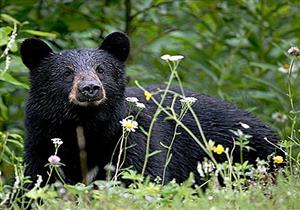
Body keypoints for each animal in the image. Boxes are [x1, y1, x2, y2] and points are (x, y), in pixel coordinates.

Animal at [20, 31, 278, 185]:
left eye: (101, 69)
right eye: (67, 73)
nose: (90, 88)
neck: (84, 125)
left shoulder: (131, 139)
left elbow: (142, 174)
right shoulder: (41, 138)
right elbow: (38, 179)